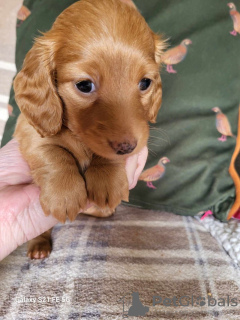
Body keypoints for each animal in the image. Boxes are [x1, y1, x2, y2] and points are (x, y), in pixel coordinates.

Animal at [13, 0, 165, 258]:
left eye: (145, 82)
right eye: (84, 85)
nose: (127, 147)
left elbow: (105, 156)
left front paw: (106, 178)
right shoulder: (29, 129)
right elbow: (52, 151)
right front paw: (64, 193)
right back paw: (39, 246)